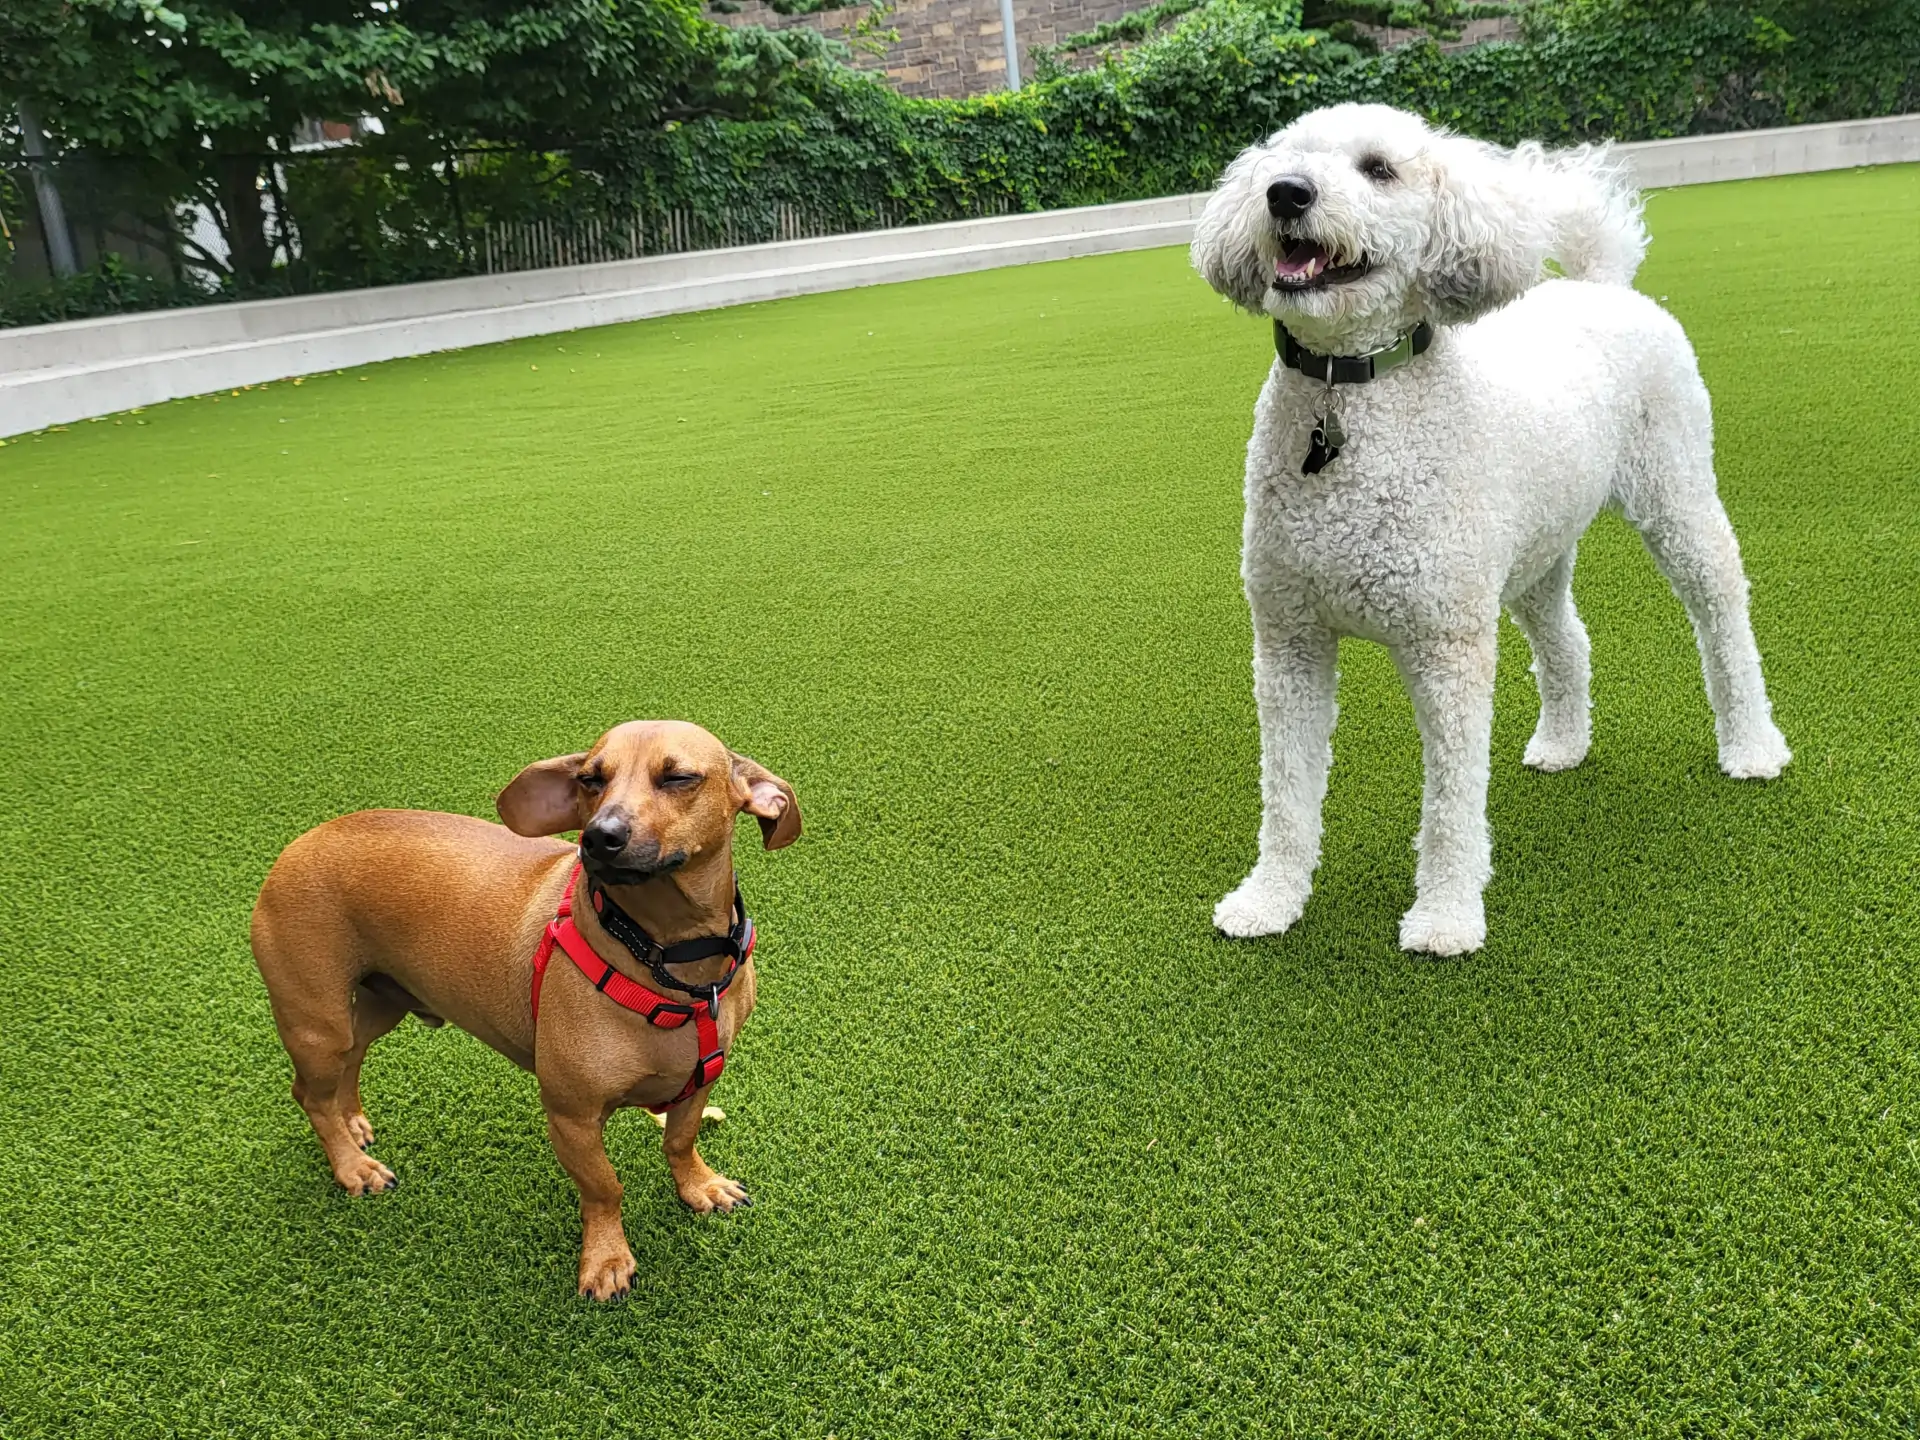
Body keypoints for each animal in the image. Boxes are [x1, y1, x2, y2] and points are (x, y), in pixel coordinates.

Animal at [1190, 101, 1789, 960]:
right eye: (1283, 160)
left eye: (1378, 168)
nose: (1286, 194)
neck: (1351, 396)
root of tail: (1599, 285)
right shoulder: (1289, 642)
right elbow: (1286, 791)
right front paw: (1270, 899)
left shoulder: (1447, 644)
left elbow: (1450, 802)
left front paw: (1444, 917)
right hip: (1533, 551)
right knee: (1568, 639)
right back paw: (1564, 743)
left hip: (1674, 493)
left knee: (1722, 609)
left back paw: (1751, 746)